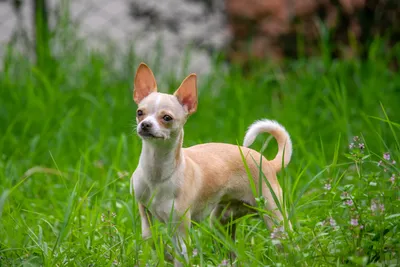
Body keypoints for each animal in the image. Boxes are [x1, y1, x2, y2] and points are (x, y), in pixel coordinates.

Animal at [130, 63, 292, 267]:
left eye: (166, 118)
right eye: (140, 113)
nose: (145, 124)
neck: (158, 173)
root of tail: (268, 163)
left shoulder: (180, 226)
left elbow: (182, 254)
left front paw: (171, 256)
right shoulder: (144, 211)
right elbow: (149, 237)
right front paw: (165, 253)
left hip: (274, 218)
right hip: (221, 222)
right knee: (231, 250)